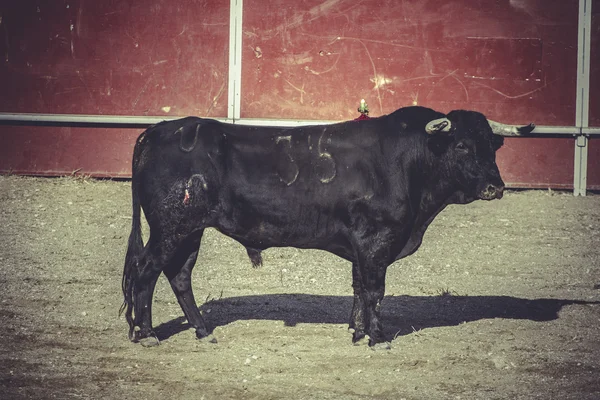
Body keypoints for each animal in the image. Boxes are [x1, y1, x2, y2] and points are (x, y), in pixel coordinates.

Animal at [119, 105, 532, 346]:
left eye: (492, 145)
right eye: (461, 145)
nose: (496, 187)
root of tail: (159, 130)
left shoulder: (363, 246)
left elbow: (360, 288)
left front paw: (358, 332)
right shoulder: (376, 240)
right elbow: (375, 290)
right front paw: (378, 337)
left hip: (189, 231)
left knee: (178, 275)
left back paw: (203, 331)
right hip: (170, 228)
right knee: (146, 271)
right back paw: (147, 334)